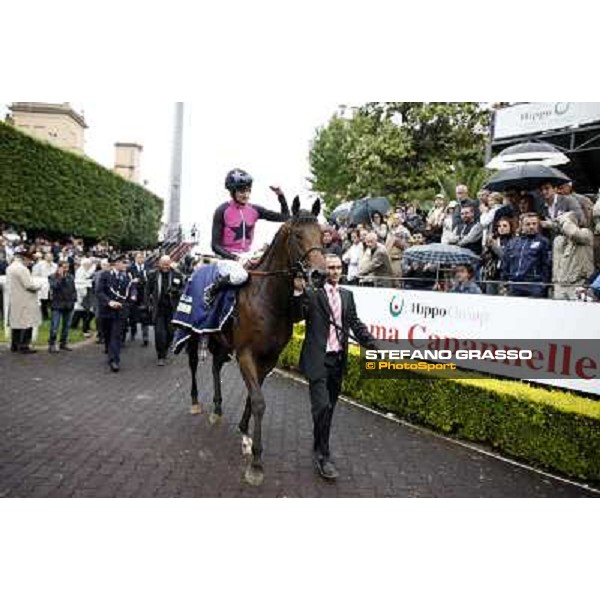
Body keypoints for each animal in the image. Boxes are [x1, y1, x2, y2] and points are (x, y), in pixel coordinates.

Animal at [185, 198, 326, 488]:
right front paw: (257, 464)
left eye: (322, 235)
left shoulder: (269, 358)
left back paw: (217, 408)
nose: (320, 274)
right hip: (194, 333)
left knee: (215, 367)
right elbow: (259, 401)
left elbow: (254, 396)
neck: (268, 299)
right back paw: (195, 402)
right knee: (193, 364)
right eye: (297, 235)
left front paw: (245, 434)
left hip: (221, 340)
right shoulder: (245, 354)